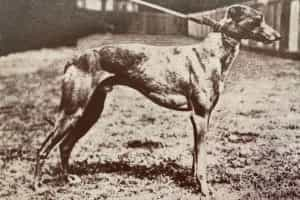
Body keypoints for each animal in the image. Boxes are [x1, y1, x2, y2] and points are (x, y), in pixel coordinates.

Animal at [34, 4, 282, 198]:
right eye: (258, 19)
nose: (278, 36)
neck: (214, 52)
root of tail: (74, 58)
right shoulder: (200, 115)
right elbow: (201, 158)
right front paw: (205, 189)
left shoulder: (203, 117)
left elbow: (195, 154)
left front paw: (194, 183)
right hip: (72, 111)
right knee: (44, 148)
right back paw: (36, 186)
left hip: (90, 111)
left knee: (65, 146)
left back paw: (68, 179)